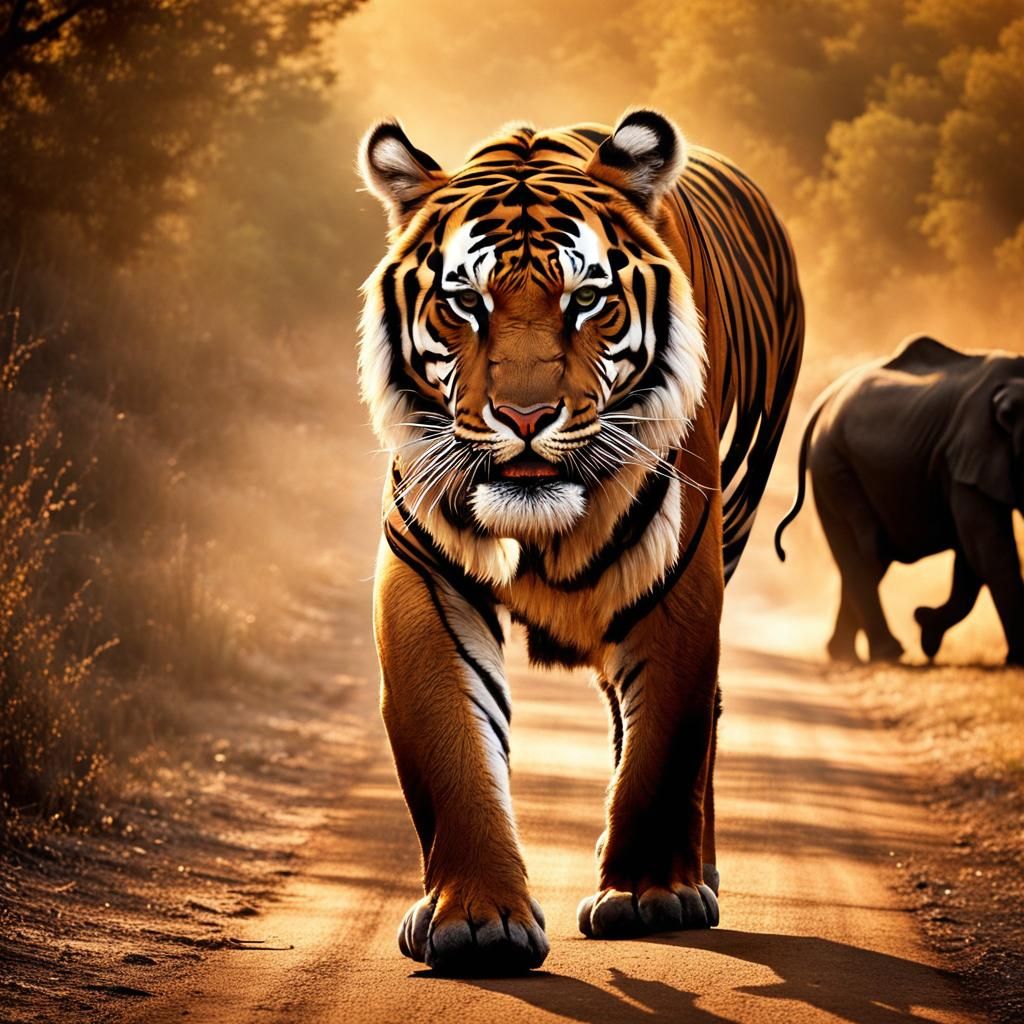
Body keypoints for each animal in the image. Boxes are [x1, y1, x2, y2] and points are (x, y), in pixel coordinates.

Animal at [357, 108, 803, 975]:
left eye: (586, 299)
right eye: (465, 302)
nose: (526, 417)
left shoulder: (677, 573)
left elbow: (664, 738)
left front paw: (649, 898)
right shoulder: (423, 571)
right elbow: (453, 743)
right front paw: (476, 919)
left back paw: (697, 875)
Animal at [774, 334, 1024, 665]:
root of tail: (826, 398)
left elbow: (972, 554)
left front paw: (926, 628)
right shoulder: (968, 454)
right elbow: (988, 547)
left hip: (833, 466)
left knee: (868, 557)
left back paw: (846, 656)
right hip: (834, 465)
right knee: (867, 550)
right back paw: (887, 654)